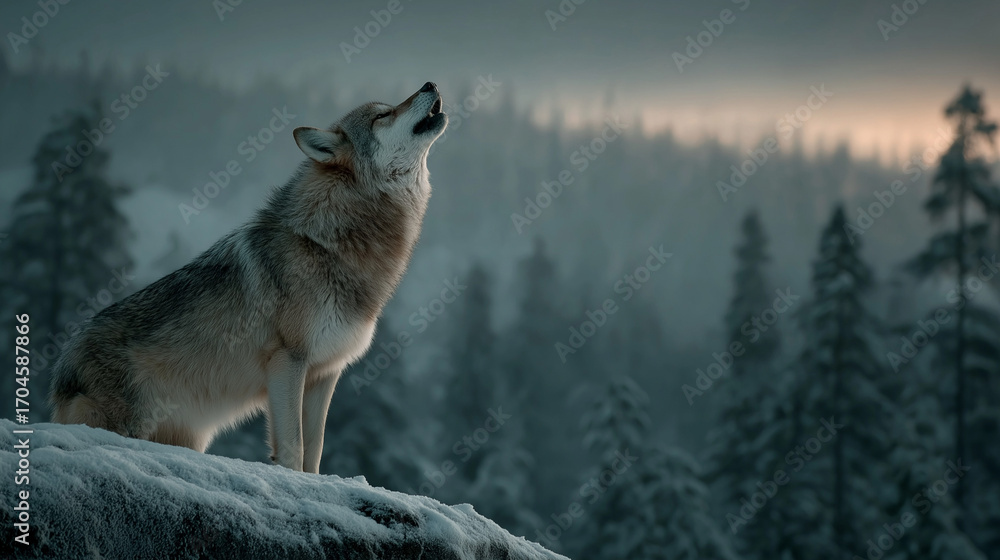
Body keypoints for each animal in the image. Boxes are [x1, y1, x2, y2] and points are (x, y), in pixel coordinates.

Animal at [49, 82, 448, 473]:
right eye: (383, 115)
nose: (430, 83)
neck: (329, 241)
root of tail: (64, 360)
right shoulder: (288, 361)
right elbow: (294, 449)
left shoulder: (324, 375)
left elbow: (315, 453)